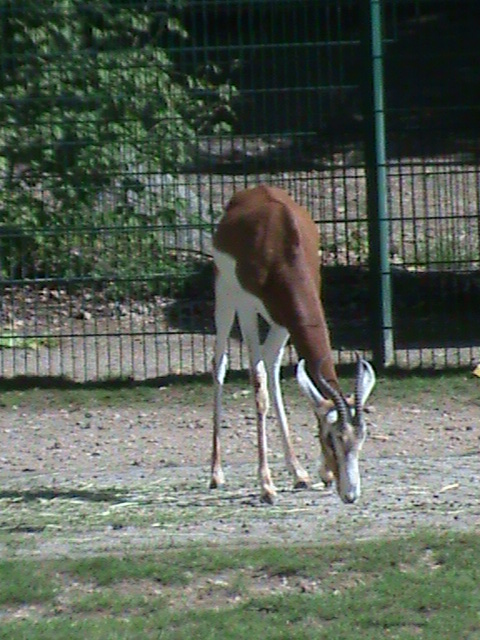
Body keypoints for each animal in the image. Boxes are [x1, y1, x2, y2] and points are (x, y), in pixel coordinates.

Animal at [211, 185, 376, 505]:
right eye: (331, 438)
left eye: (362, 438)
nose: (351, 495)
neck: (281, 246)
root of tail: (251, 191)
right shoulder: (247, 306)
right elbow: (258, 386)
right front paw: (266, 486)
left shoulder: (294, 314)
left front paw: (316, 474)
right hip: (224, 293)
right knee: (220, 364)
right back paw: (216, 474)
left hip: (277, 321)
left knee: (272, 365)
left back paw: (298, 472)